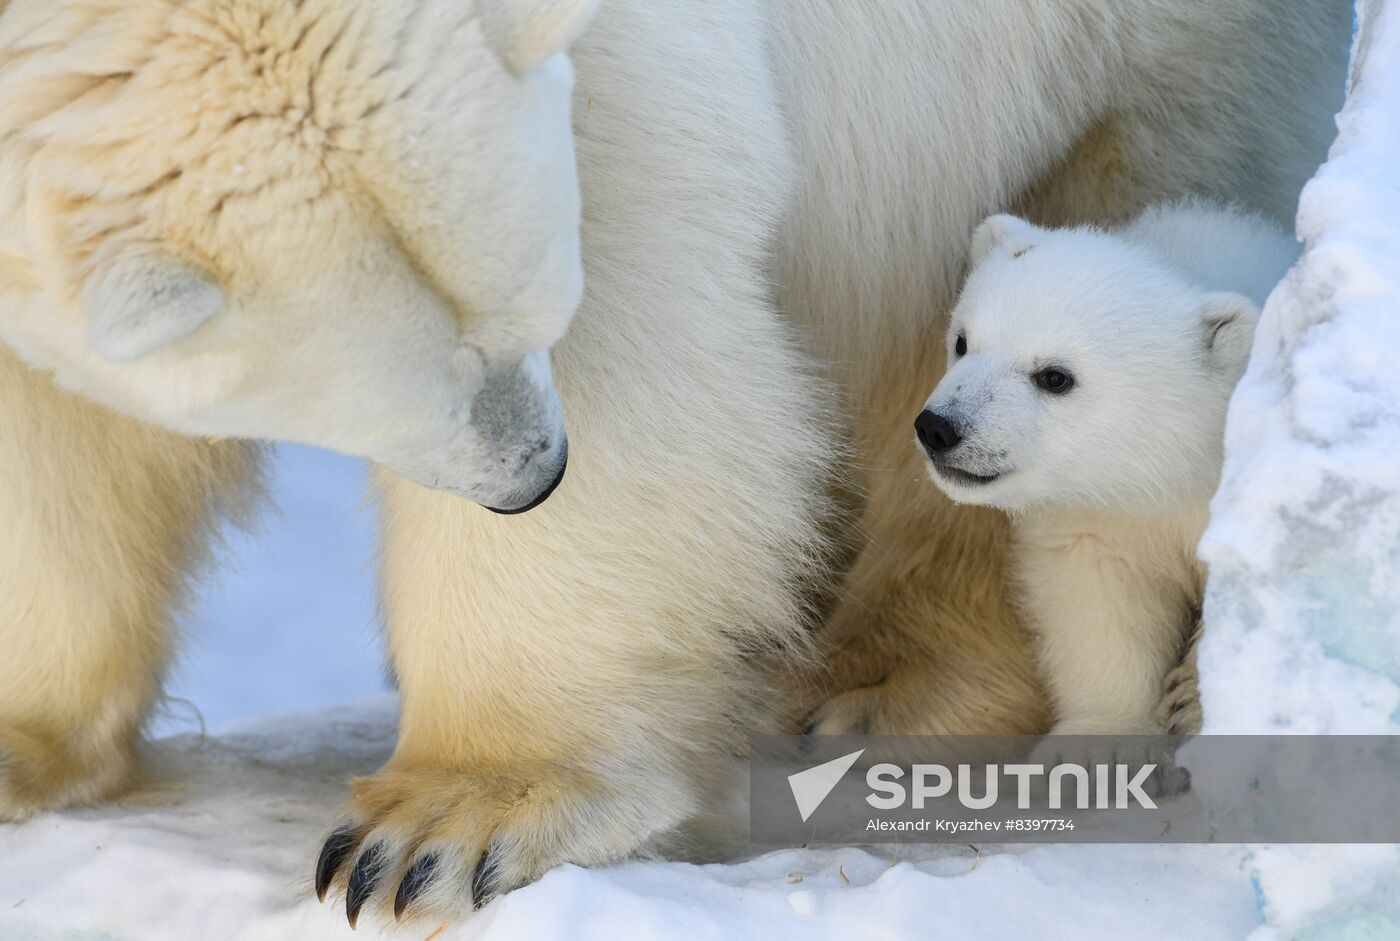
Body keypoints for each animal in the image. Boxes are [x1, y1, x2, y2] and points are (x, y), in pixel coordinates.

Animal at [0, 0, 1344, 924]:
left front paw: (444, 820)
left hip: (1134, 62)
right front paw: (24, 747)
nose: (532, 474)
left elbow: (642, 311)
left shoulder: (618, 71)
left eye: (526, 302)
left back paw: (886, 680)